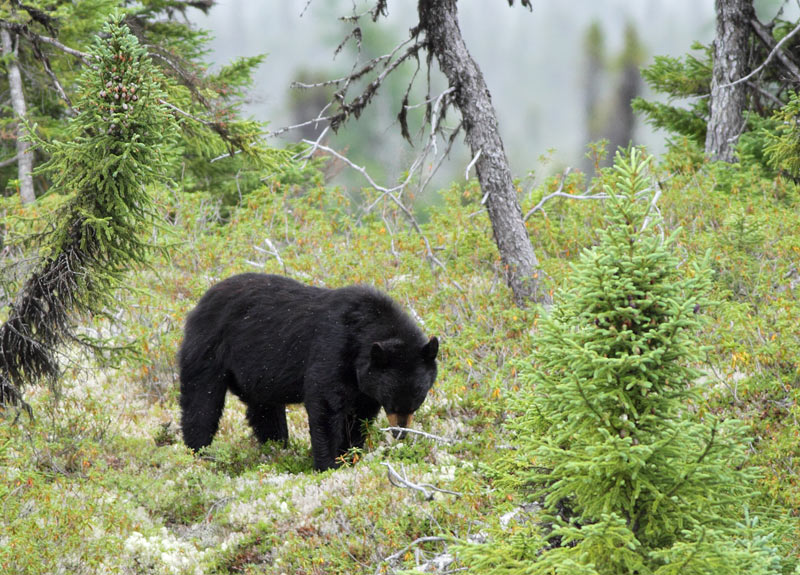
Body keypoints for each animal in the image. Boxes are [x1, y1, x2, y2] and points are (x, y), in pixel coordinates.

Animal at [178, 273, 439, 471]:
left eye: (417, 399)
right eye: (392, 402)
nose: (400, 433)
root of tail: (201, 300)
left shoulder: (364, 386)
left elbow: (359, 417)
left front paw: (351, 455)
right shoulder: (333, 349)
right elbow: (326, 404)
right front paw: (328, 464)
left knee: (265, 412)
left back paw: (277, 448)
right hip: (209, 349)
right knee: (202, 403)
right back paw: (200, 454)